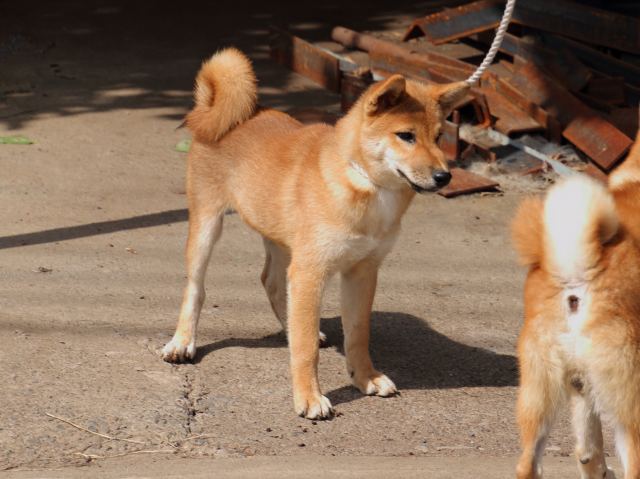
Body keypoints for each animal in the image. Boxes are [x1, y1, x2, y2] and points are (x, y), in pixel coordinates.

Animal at [162, 48, 468, 420]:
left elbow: (357, 335)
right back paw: (182, 342)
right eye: (406, 136)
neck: (365, 185)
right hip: (207, 226)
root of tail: (223, 111)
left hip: (282, 239)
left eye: (439, 138)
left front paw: (365, 378)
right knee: (196, 289)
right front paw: (309, 397)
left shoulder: (361, 272)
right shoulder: (312, 272)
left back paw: (287, 326)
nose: (444, 177)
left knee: (272, 282)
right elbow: (306, 348)